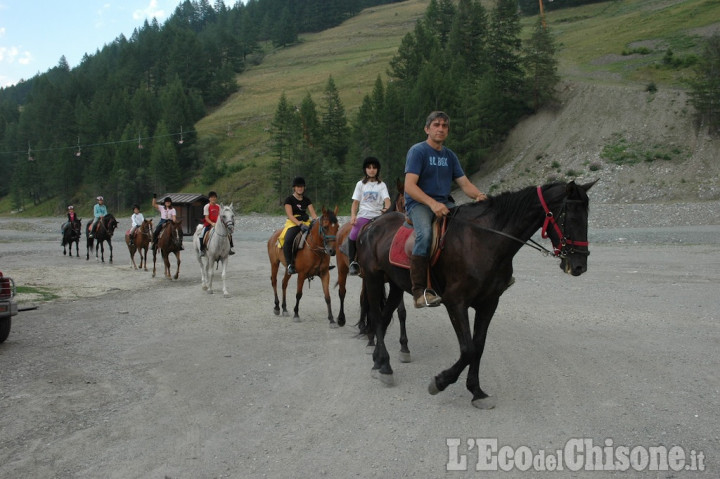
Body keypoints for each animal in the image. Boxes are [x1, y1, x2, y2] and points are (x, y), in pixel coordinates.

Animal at [358, 181, 592, 408]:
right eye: (570, 217)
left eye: (587, 217)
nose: (580, 265)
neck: (485, 241)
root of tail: (372, 226)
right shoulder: (455, 303)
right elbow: (468, 349)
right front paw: (440, 382)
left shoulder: (489, 303)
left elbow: (478, 347)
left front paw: (476, 391)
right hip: (373, 279)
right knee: (377, 317)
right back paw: (385, 366)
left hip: (396, 285)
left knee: (385, 317)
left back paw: (379, 362)